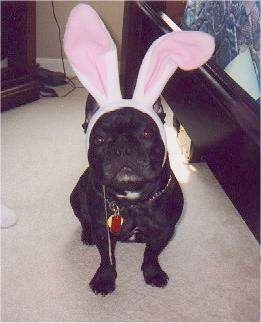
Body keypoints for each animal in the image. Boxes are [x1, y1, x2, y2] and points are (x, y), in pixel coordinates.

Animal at [69, 95, 183, 294]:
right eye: (99, 139)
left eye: (147, 134)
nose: (122, 148)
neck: (132, 201)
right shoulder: (102, 231)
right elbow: (106, 257)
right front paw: (104, 279)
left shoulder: (164, 230)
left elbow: (151, 254)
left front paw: (152, 273)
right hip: (75, 198)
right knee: (83, 219)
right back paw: (87, 235)